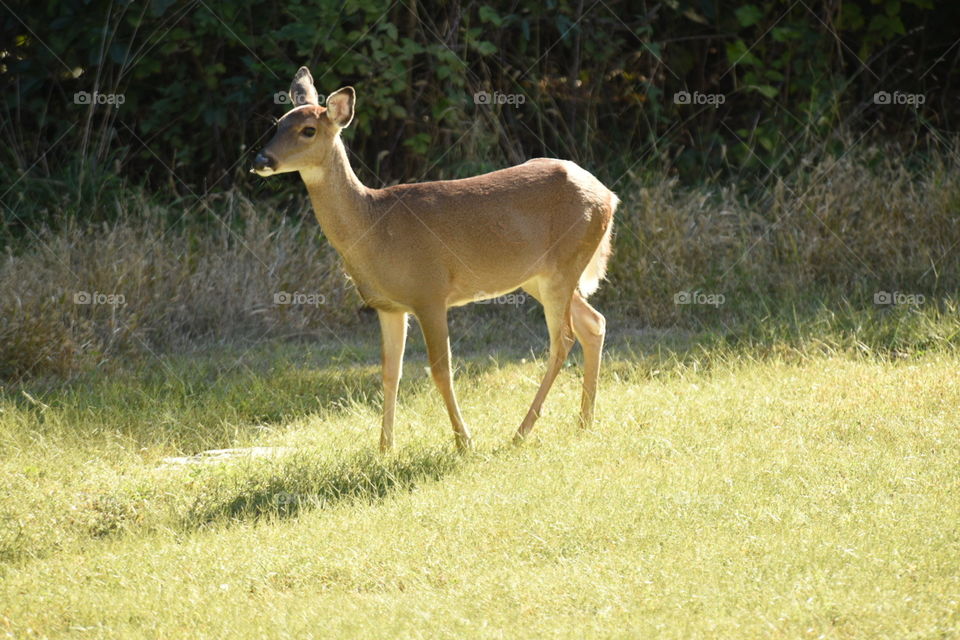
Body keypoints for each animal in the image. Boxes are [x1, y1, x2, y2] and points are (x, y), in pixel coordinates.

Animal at [251, 67, 618, 452]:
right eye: (278, 123)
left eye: (308, 130)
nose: (261, 161)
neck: (374, 226)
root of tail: (609, 196)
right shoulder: (388, 306)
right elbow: (389, 371)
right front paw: (384, 447)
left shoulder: (429, 293)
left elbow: (441, 370)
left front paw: (464, 442)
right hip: (538, 276)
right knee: (594, 323)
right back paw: (584, 422)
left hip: (564, 263)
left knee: (563, 339)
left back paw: (522, 431)